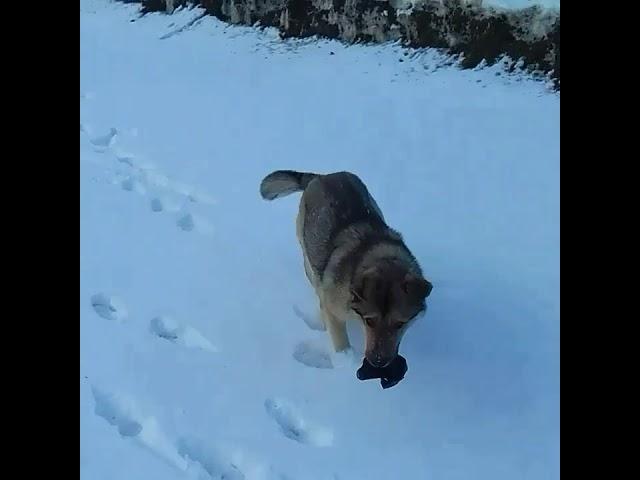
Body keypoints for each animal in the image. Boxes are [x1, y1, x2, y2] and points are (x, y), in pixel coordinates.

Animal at [258, 169, 432, 368]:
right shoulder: (334, 308)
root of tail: (322, 176)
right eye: (369, 321)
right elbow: (339, 338)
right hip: (307, 252)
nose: (378, 362)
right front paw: (346, 361)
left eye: (400, 323)